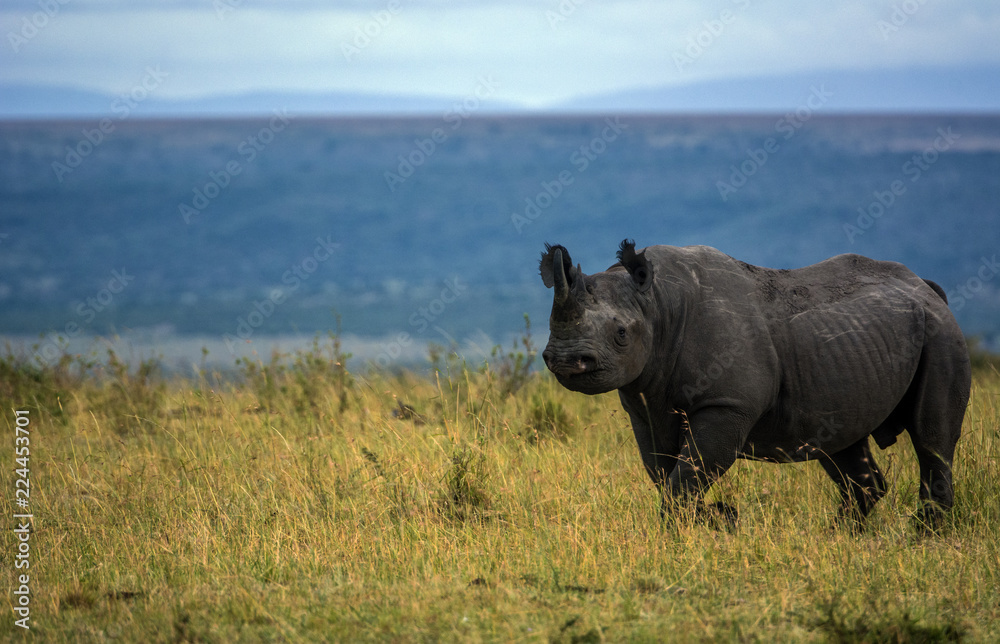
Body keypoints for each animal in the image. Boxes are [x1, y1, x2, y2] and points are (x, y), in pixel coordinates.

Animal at [540, 240, 971, 526]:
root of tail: (926, 288)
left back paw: (924, 536)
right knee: (840, 442)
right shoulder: (644, 406)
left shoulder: (727, 404)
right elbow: (665, 473)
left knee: (931, 439)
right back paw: (843, 536)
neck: (657, 305)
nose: (565, 360)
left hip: (941, 334)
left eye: (621, 334)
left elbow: (689, 473)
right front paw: (715, 520)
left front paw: (693, 527)